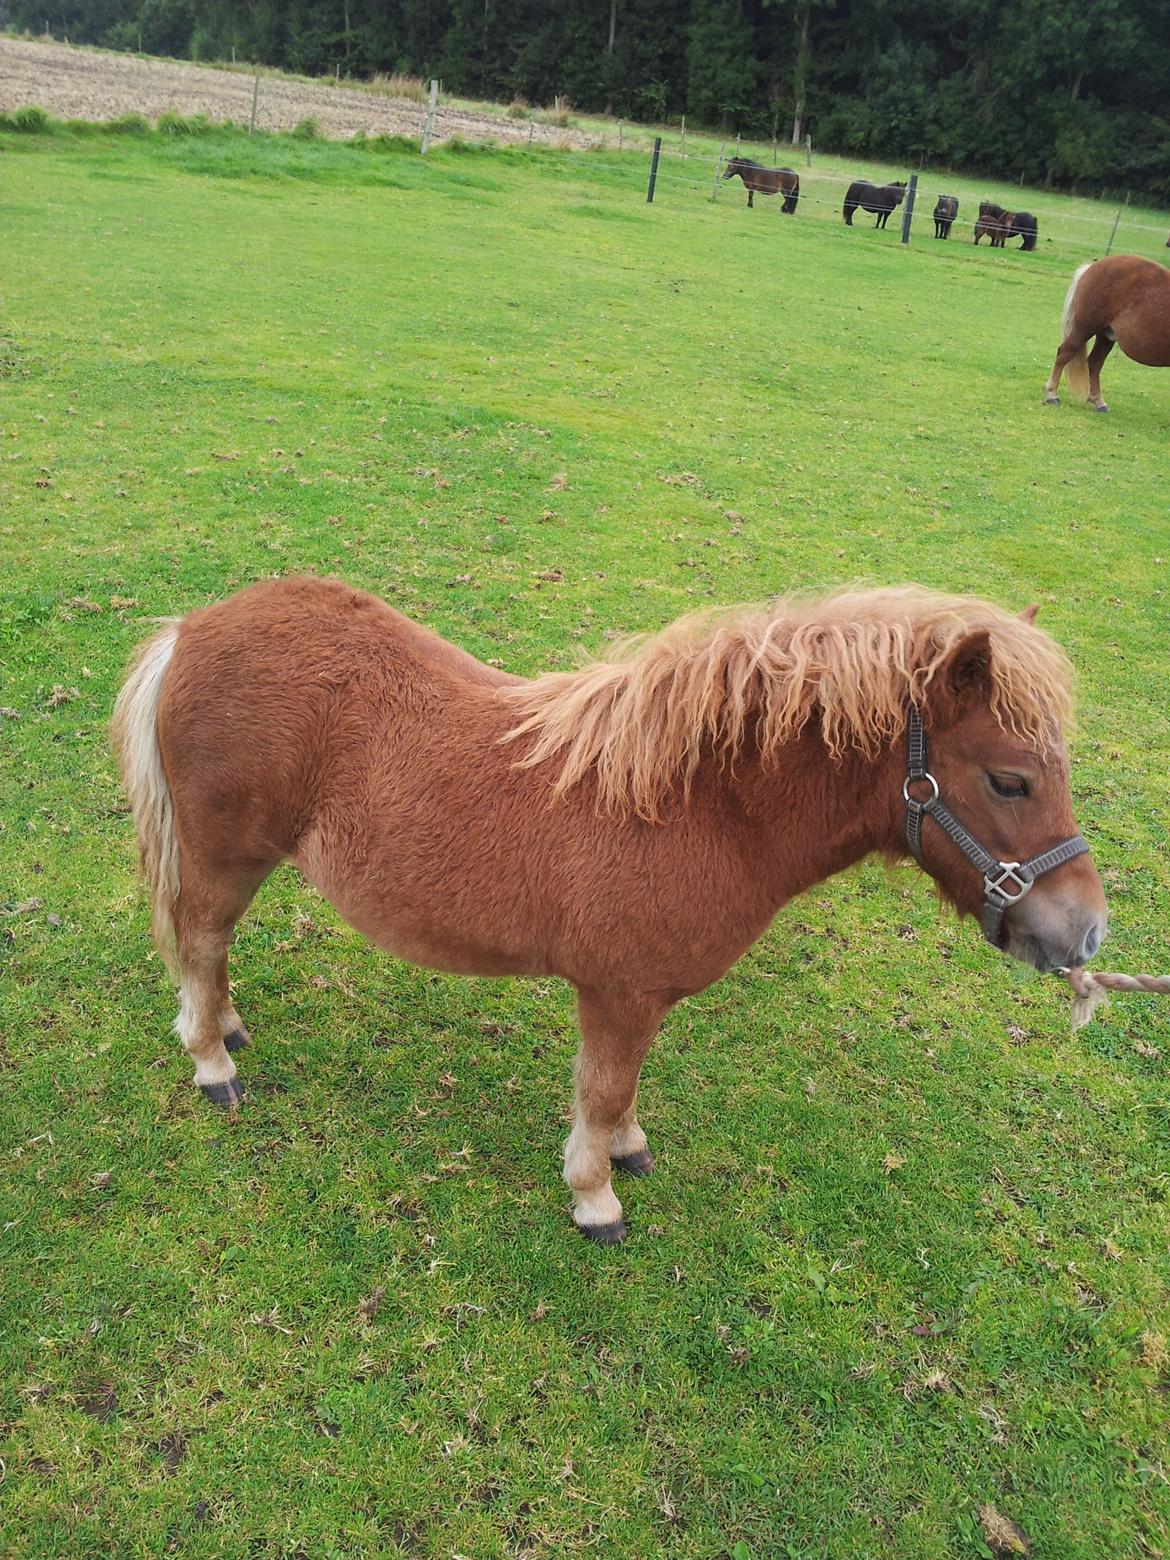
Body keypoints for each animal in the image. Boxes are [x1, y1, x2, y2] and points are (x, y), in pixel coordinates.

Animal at [114, 580, 1110, 1248]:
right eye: (1011, 780)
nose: (1084, 933)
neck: (696, 807)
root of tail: (195, 628)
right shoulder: (617, 995)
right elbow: (602, 1089)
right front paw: (595, 1195)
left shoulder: (642, 999)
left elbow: (623, 1092)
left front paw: (626, 1150)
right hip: (226, 854)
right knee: (200, 942)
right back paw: (211, 1062)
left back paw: (226, 1030)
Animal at [1042, 251, 1170, 408]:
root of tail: (1092, 267)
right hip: (1085, 328)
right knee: (1065, 353)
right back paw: (1052, 394)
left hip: (1105, 335)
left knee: (1095, 362)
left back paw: (1098, 401)